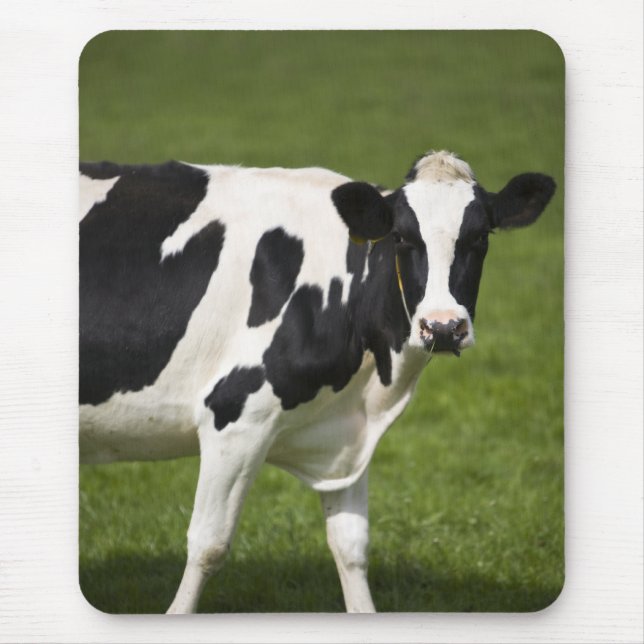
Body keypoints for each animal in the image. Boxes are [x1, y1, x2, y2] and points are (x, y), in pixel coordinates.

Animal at [79, 150, 555, 613]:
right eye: (402, 238)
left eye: (481, 238)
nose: (443, 327)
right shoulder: (233, 417)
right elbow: (208, 545)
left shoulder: (346, 437)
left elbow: (351, 546)